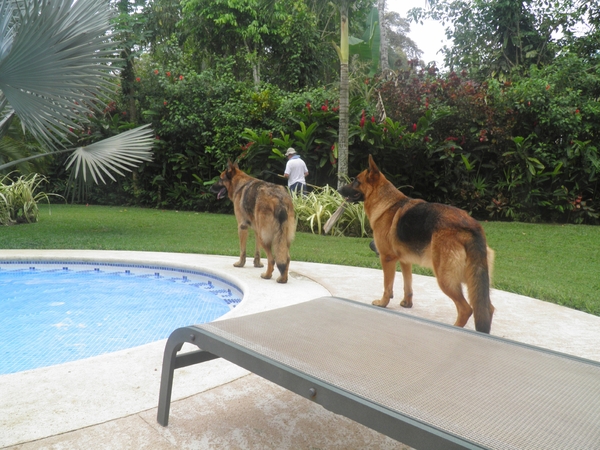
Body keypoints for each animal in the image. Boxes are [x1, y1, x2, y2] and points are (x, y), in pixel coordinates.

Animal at [340, 156, 494, 332]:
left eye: (355, 181)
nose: (338, 189)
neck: (386, 203)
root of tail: (471, 226)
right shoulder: (405, 261)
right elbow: (408, 284)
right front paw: (407, 303)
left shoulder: (387, 259)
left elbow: (387, 285)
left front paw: (383, 303)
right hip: (473, 280)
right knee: (487, 308)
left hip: (445, 277)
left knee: (466, 309)